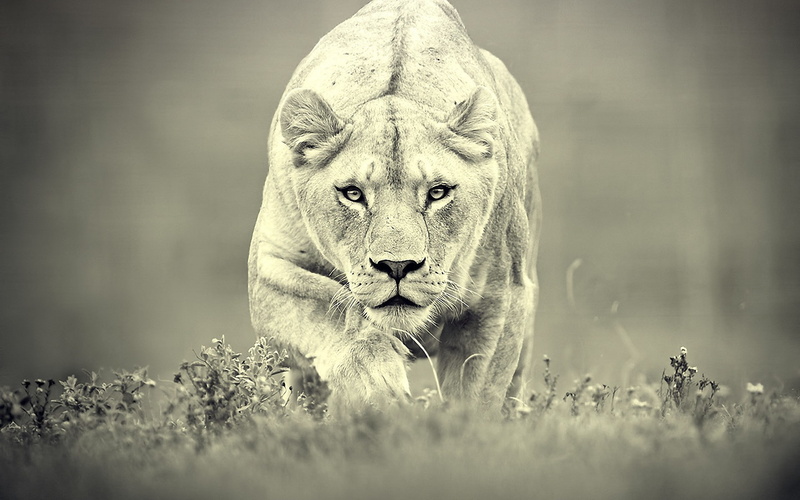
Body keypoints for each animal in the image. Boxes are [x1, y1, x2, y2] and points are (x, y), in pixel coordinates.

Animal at [248, 0, 541, 413]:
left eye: (437, 192)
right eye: (353, 194)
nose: (398, 266)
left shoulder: (501, 295)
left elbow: (476, 395)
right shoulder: (268, 268)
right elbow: (333, 308)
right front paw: (378, 387)